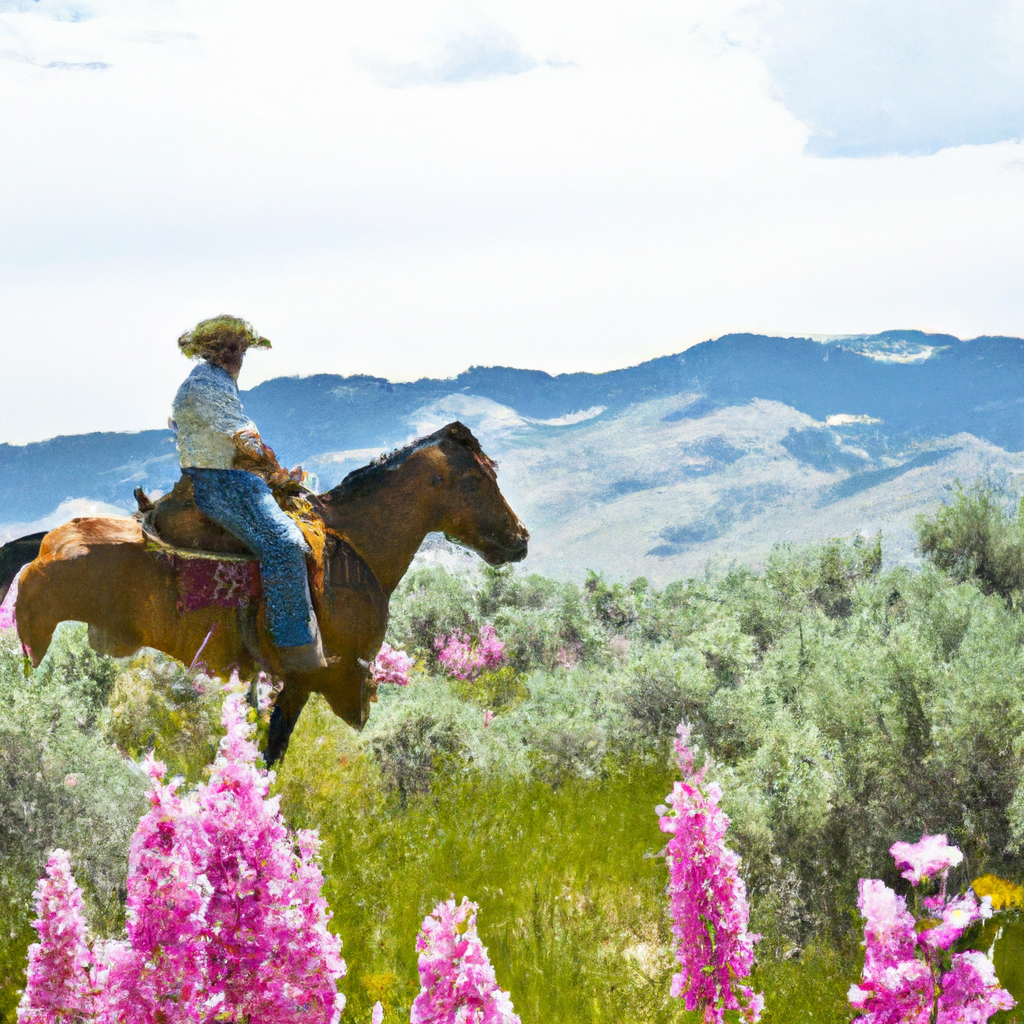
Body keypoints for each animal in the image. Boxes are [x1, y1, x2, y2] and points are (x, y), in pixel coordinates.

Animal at [2, 419, 528, 765]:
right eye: (477, 479)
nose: (520, 538)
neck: (355, 546)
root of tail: (42, 547)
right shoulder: (309, 678)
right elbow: (273, 750)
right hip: (36, 649)